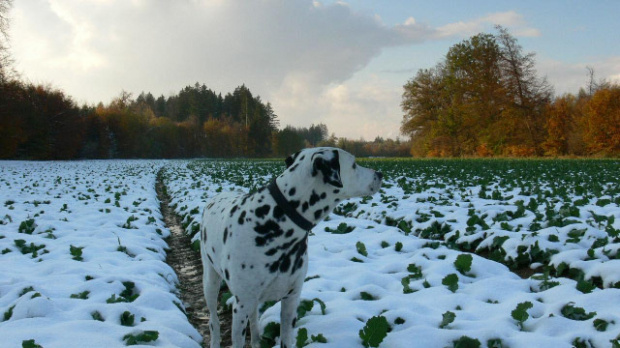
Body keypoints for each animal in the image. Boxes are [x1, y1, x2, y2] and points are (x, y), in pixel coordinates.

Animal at [200, 147, 382, 348]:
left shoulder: (291, 300)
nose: (380, 174)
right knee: (213, 321)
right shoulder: (240, 305)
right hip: (211, 282)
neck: (276, 222)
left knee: (254, 322)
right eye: (354, 164)